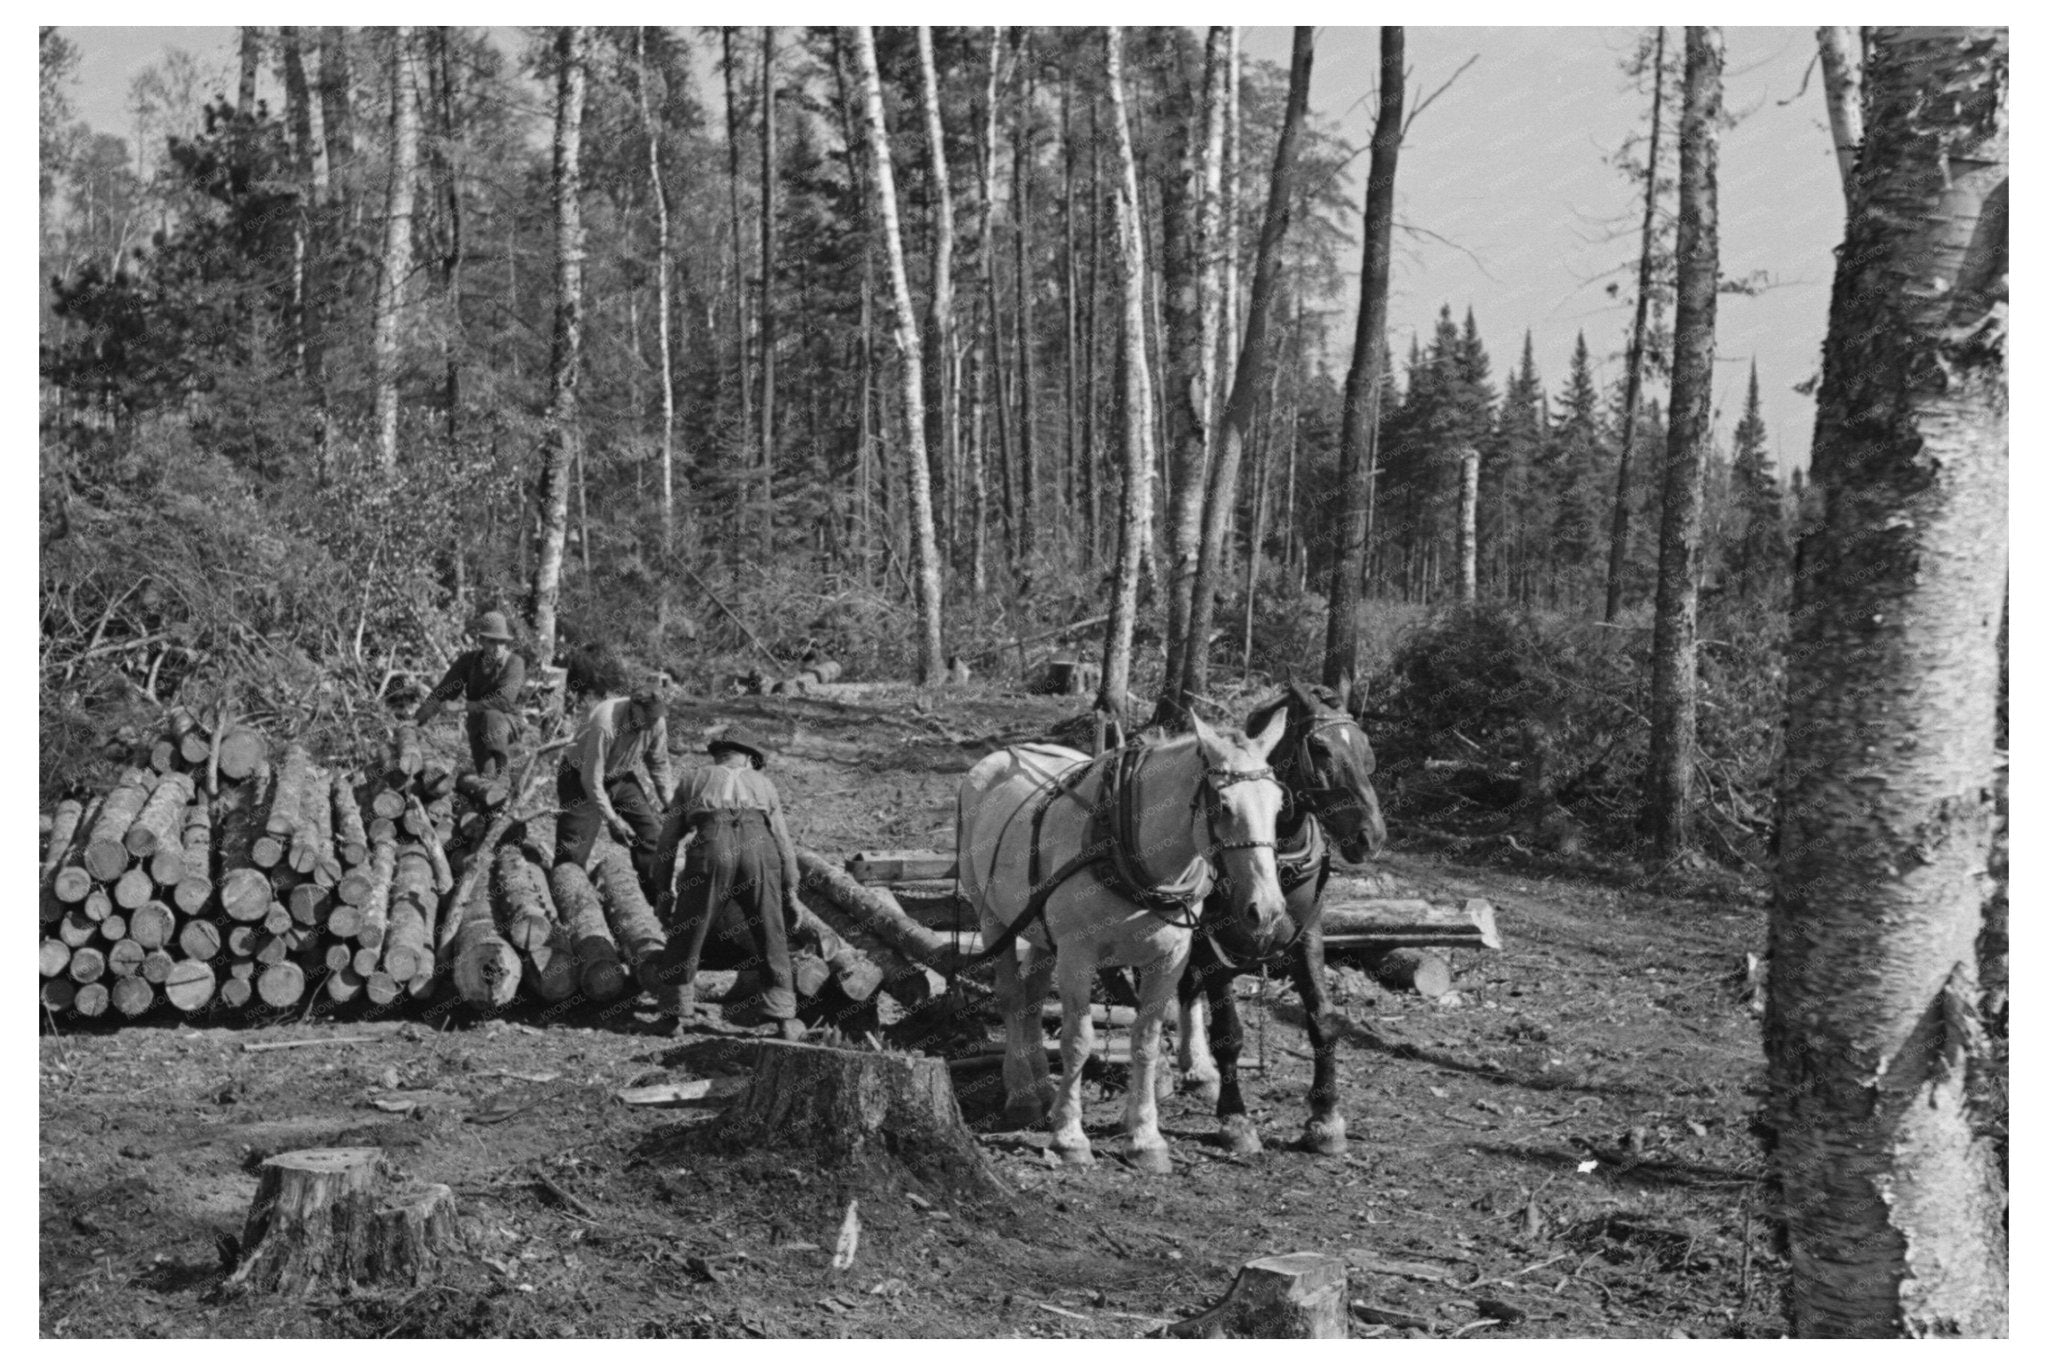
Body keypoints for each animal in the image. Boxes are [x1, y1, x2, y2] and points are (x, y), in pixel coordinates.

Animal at [954, 716, 1277, 1178]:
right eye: (1224, 807)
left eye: (1280, 805)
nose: (1265, 911)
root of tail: (996, 757)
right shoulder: (1077, 955)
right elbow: (1077, 1040)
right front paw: (1070, 1138)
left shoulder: (1168, 959)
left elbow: (1146, 1040)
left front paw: (1144, 1138)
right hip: (994, 919)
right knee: (1013, 997)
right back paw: (1023, 1093)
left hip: (1040, 928)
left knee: (1033, 997)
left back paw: (1042, 1086)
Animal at [1171, 679, 1392, 1162]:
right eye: (1321, 749)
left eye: (1365, 745)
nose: (1371, 836)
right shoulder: (1215, 943)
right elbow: (1229, 1033)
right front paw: (1235, 1120)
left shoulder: (1308, 936)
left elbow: (1323, 1019)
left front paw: (1325, 1119)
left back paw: (1197, 1069)